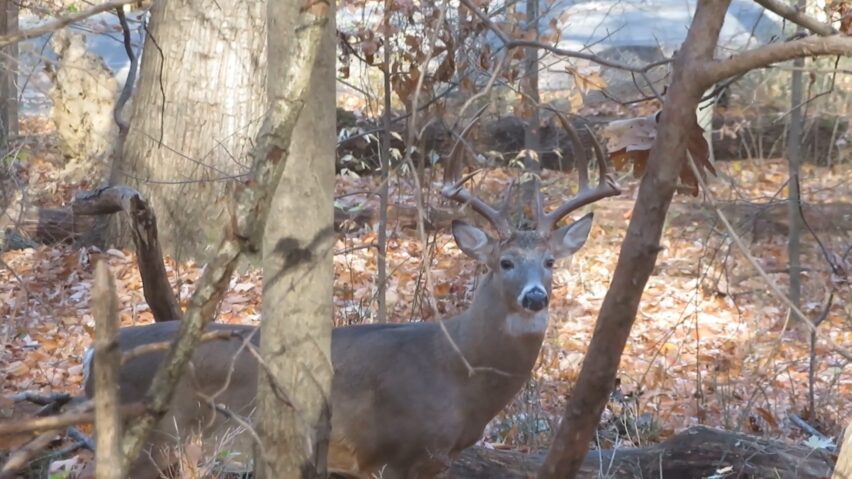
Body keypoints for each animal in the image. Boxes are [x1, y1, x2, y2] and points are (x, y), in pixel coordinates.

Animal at [83, 121, 620, 479]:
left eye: (549, 262)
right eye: (504, 262)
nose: (535, 296)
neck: (457, 368)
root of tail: (91, 360)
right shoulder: (399, 451)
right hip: (153, 442)